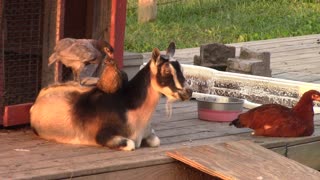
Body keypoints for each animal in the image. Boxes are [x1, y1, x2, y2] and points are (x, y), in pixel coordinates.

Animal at [30, 43, 191, 151]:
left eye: (182, 70)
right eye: (166, 72)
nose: (188, 92)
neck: (128, 107)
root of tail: (37, 101)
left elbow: (156, 141)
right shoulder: (102, 136)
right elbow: (131, 144)